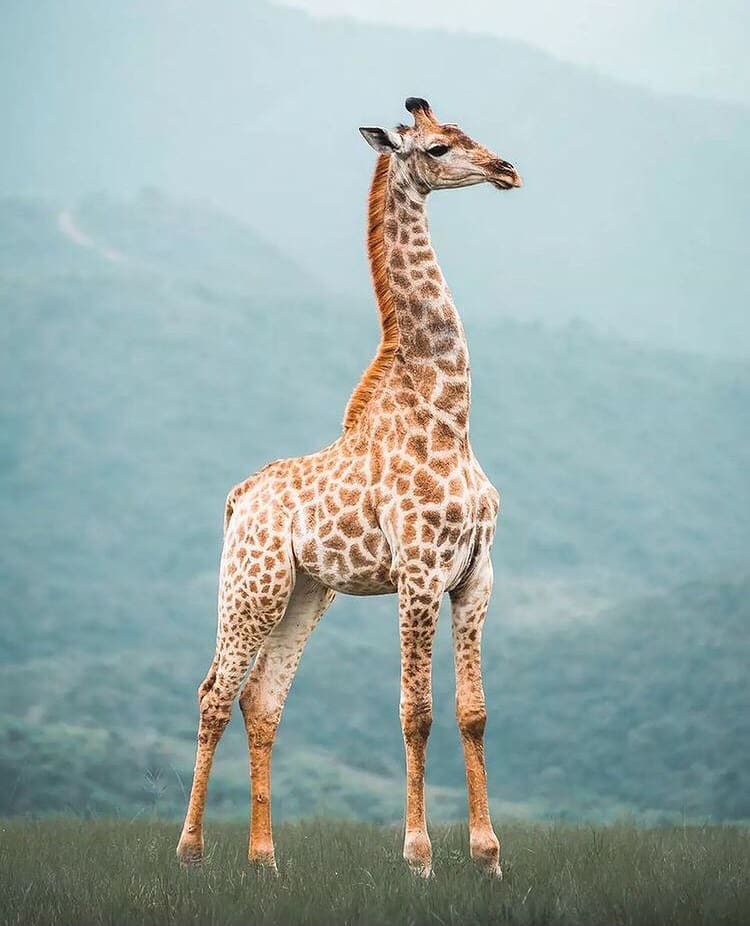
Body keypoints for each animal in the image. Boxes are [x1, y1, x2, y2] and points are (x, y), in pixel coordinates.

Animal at [176, 97, 522, 879]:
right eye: (436, 146)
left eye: (467, 131)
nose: (506, 170)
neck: (448, 413)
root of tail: (238, 498)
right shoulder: (419, 572)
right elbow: (416, 712)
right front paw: (419, 858)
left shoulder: (476, 574)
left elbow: (475, 714)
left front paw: (488, 857)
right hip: (250, 584)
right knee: (215, 693)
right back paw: (190, 852)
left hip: (305, 592)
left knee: (262, 700)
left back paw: (265, 860)